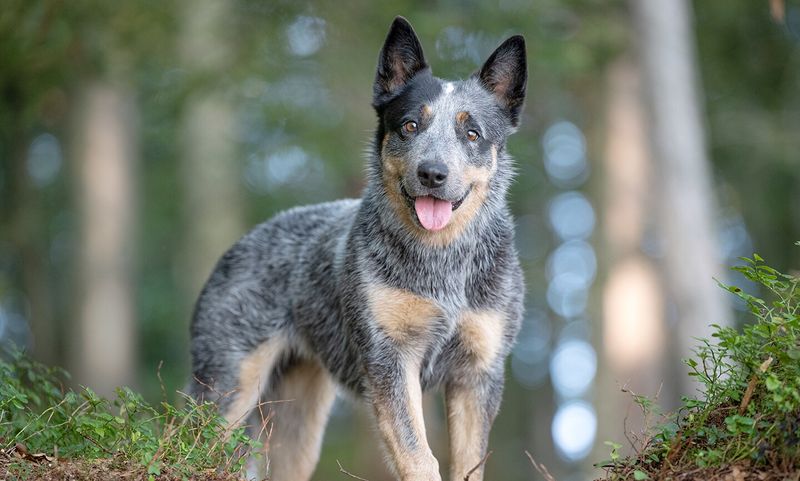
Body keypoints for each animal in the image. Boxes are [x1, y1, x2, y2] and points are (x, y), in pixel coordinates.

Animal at [191, 15, 528, 480]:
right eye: (409, 125)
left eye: (472, 133)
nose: (432, 173)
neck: (443, 263)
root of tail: (239, 244)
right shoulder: (389, 358)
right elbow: (419, 456)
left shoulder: (478, 374)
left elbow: (468, 465)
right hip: (228, 388)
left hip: (297, 421)